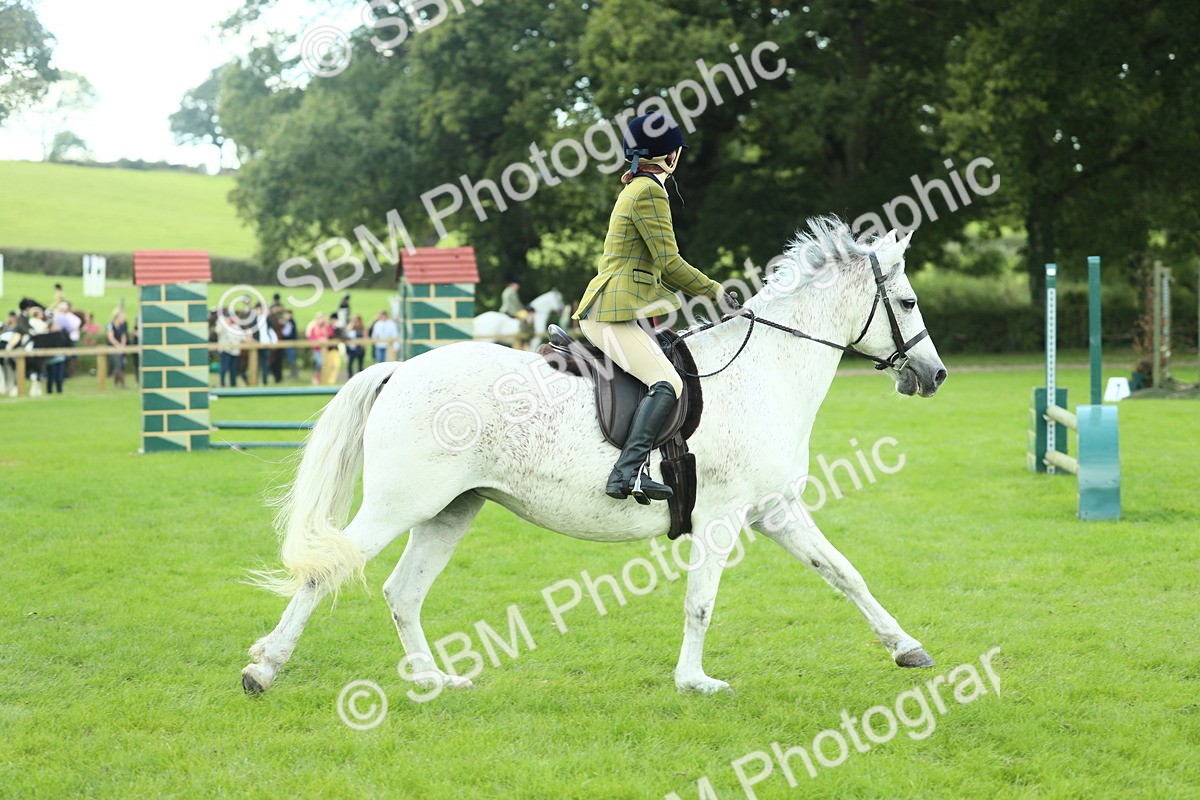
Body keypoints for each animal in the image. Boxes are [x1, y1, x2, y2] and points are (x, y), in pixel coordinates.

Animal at [241, 217, 948, 697]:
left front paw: (907, 649)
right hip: (400, 503)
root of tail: (400, 369)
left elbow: (845, 573)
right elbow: (701, 602)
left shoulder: (775, 509)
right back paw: (264, 669)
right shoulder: (721, 517)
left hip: (450, 509)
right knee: (326, 572)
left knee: (402, 591)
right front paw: (695, 681)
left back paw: (433, 680)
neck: (767, 369)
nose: (934, 374)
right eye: (908, 302)